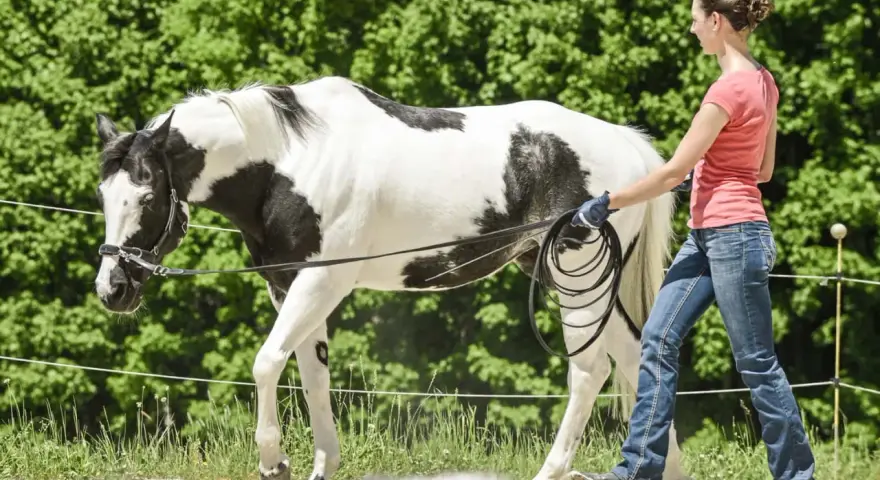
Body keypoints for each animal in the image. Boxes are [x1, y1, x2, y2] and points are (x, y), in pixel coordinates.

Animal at [91, 75, 686, 480]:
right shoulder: (289, 285)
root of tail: (630, 147)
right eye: (103, 194)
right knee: (633, 356)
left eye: (147, 195)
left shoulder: (320, 283)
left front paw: (273, 461)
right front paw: (319, 465)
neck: (290, 163)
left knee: (589, 370)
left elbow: (267, 362)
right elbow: (312, 374)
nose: (112, 289)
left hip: (576, 278)